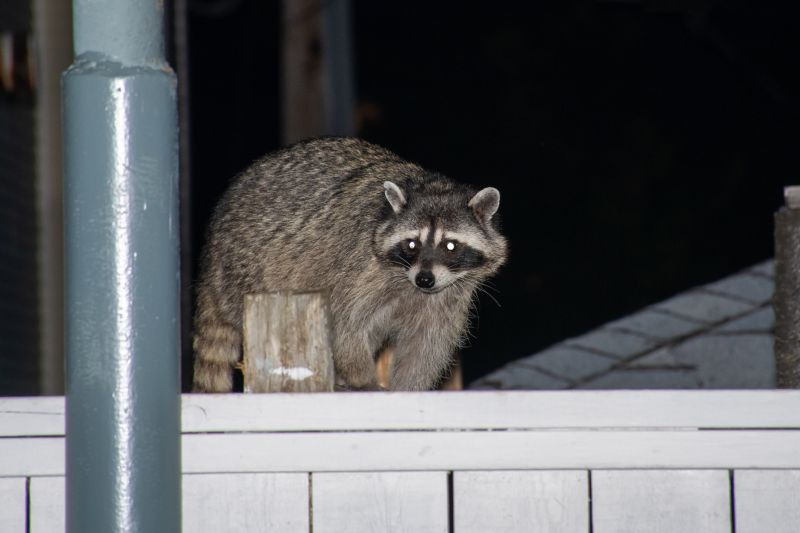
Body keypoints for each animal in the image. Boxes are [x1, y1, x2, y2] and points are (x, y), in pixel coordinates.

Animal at [192, 137, 507, 392]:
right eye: (412, 244)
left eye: (450, 246)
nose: (425, 279)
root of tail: (211, 256)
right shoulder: (357, 266)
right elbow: (346, 324)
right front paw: (362, 378)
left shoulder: (447, 297)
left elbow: (427, 344)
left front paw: (408, 387)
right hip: (247, 265)